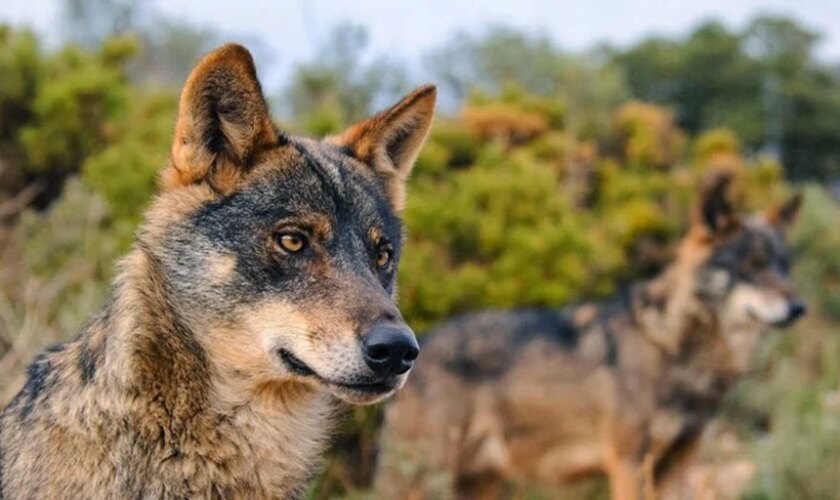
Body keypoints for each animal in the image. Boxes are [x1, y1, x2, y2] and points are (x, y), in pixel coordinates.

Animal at [378, 174, 804, 498]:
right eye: (751, 266)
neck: (670, 345)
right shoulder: (629, 463)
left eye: (783, 266)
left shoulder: (678, 466)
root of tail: (419, 343)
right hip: (426, 478)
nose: (799, 307)